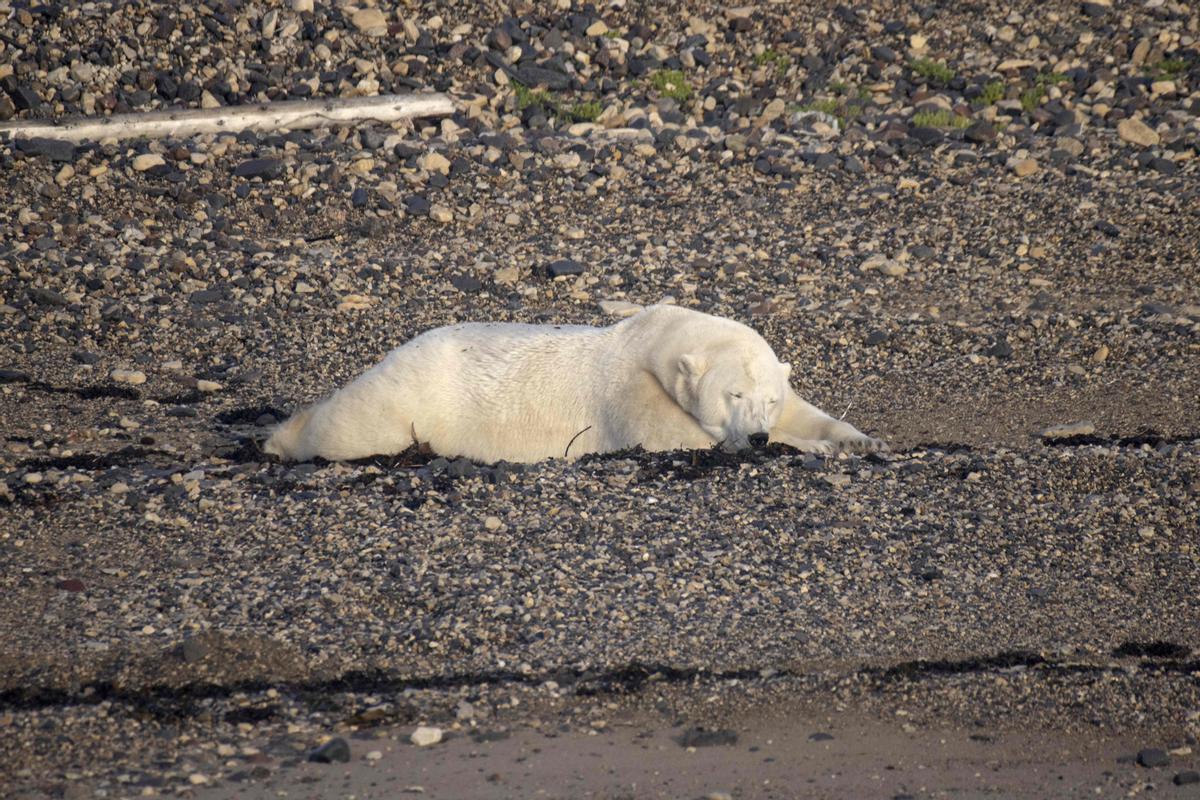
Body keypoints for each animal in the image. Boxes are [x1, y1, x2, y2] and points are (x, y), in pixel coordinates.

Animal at [265, 309, 883, 465]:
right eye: (733, 395)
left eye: (766, 397)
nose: (756, 436)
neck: (652, 341)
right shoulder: (630, 395)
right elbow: (684, 440)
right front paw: (814, 447)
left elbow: (809, 411)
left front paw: (858, 438)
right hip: (403, 401)